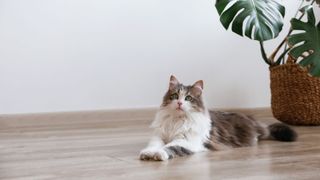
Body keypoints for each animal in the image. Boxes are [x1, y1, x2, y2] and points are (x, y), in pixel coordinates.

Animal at [140, 75, 298, 161]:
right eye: (174, 96)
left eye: (188, 98)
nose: (179, 103)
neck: (177, 121)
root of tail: (250, 119)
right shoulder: (159, 136)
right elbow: (154, 145)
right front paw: (148, 153)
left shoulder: (188, 141)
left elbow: (170, 147)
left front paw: (158, 154)